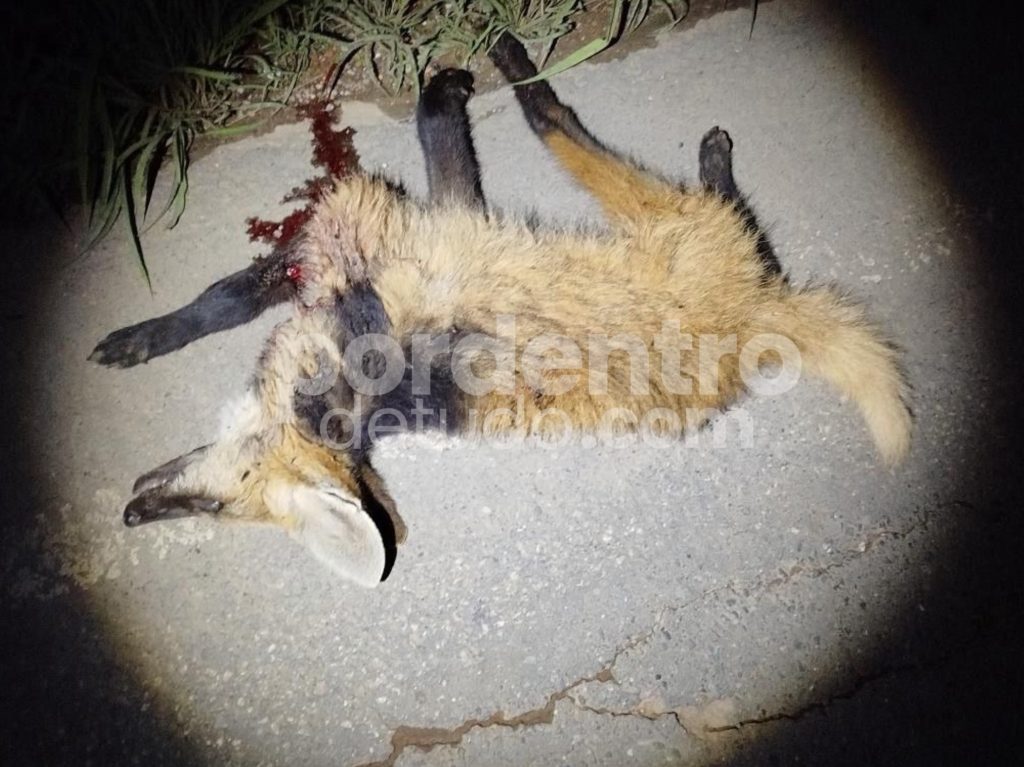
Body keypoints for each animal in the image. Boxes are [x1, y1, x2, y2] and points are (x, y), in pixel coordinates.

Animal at [90, 35, 911, 586]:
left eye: (215, 507)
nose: (130, 514)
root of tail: (756, 314)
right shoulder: (381, 243)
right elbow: (226, 298)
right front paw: (143, 339)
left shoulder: (409, 230)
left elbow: (428, 129)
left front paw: (445, 84)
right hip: (681, 227)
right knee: (731, 215)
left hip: (641, 205)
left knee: (558, 119)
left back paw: (528, 65)